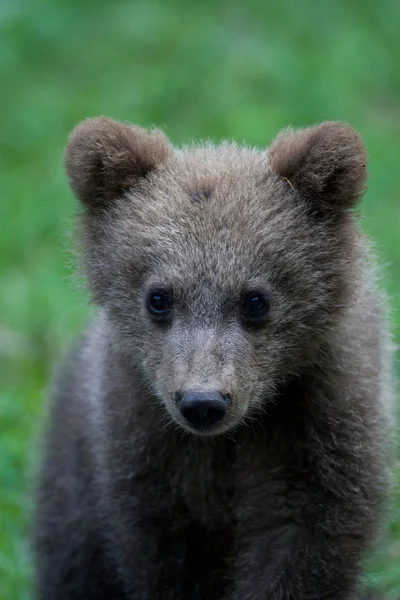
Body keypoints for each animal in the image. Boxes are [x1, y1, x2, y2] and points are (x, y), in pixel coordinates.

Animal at [32, 118, 394, 600]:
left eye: (255, 299)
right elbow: (164, 552)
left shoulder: (319, 420)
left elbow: (302, 542)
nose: (203, 403)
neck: (230, 440)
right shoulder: (143, 443)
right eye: (159, 297)